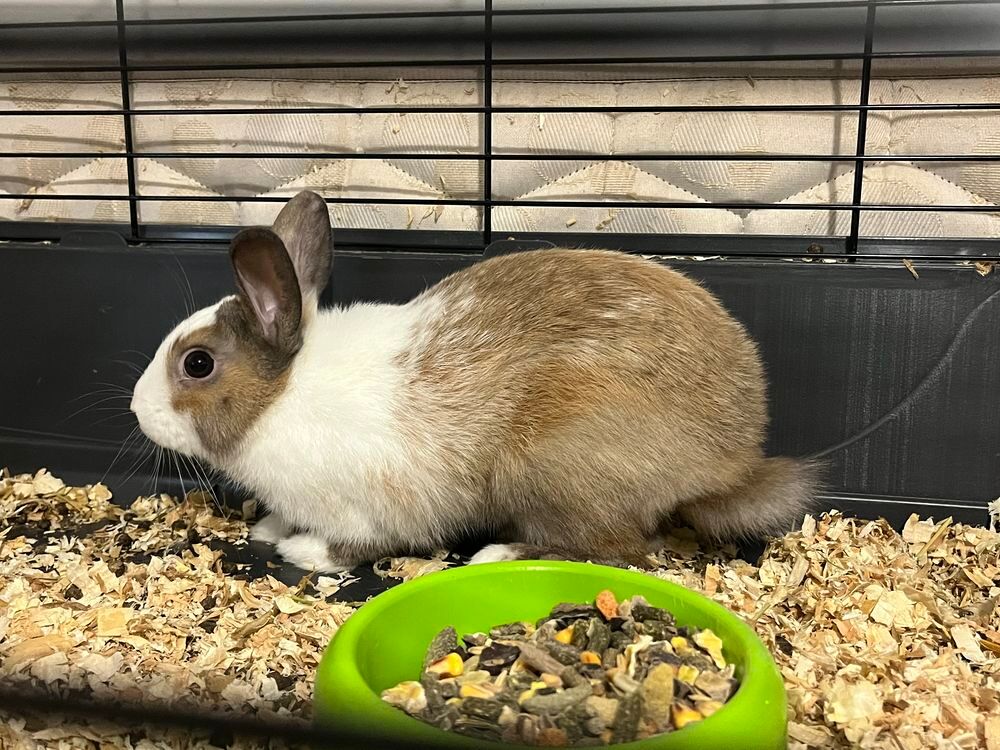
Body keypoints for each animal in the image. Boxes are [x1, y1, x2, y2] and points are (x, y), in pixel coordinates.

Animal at [130, 190, 817, 573]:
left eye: (197, 363)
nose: (138, 411)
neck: (282, 397)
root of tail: (728, 462)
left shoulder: (371, 509)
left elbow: (356, 545)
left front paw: (303, 553)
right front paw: (269, 528)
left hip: (550, 469)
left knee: (613, 548)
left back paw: (499, 553)